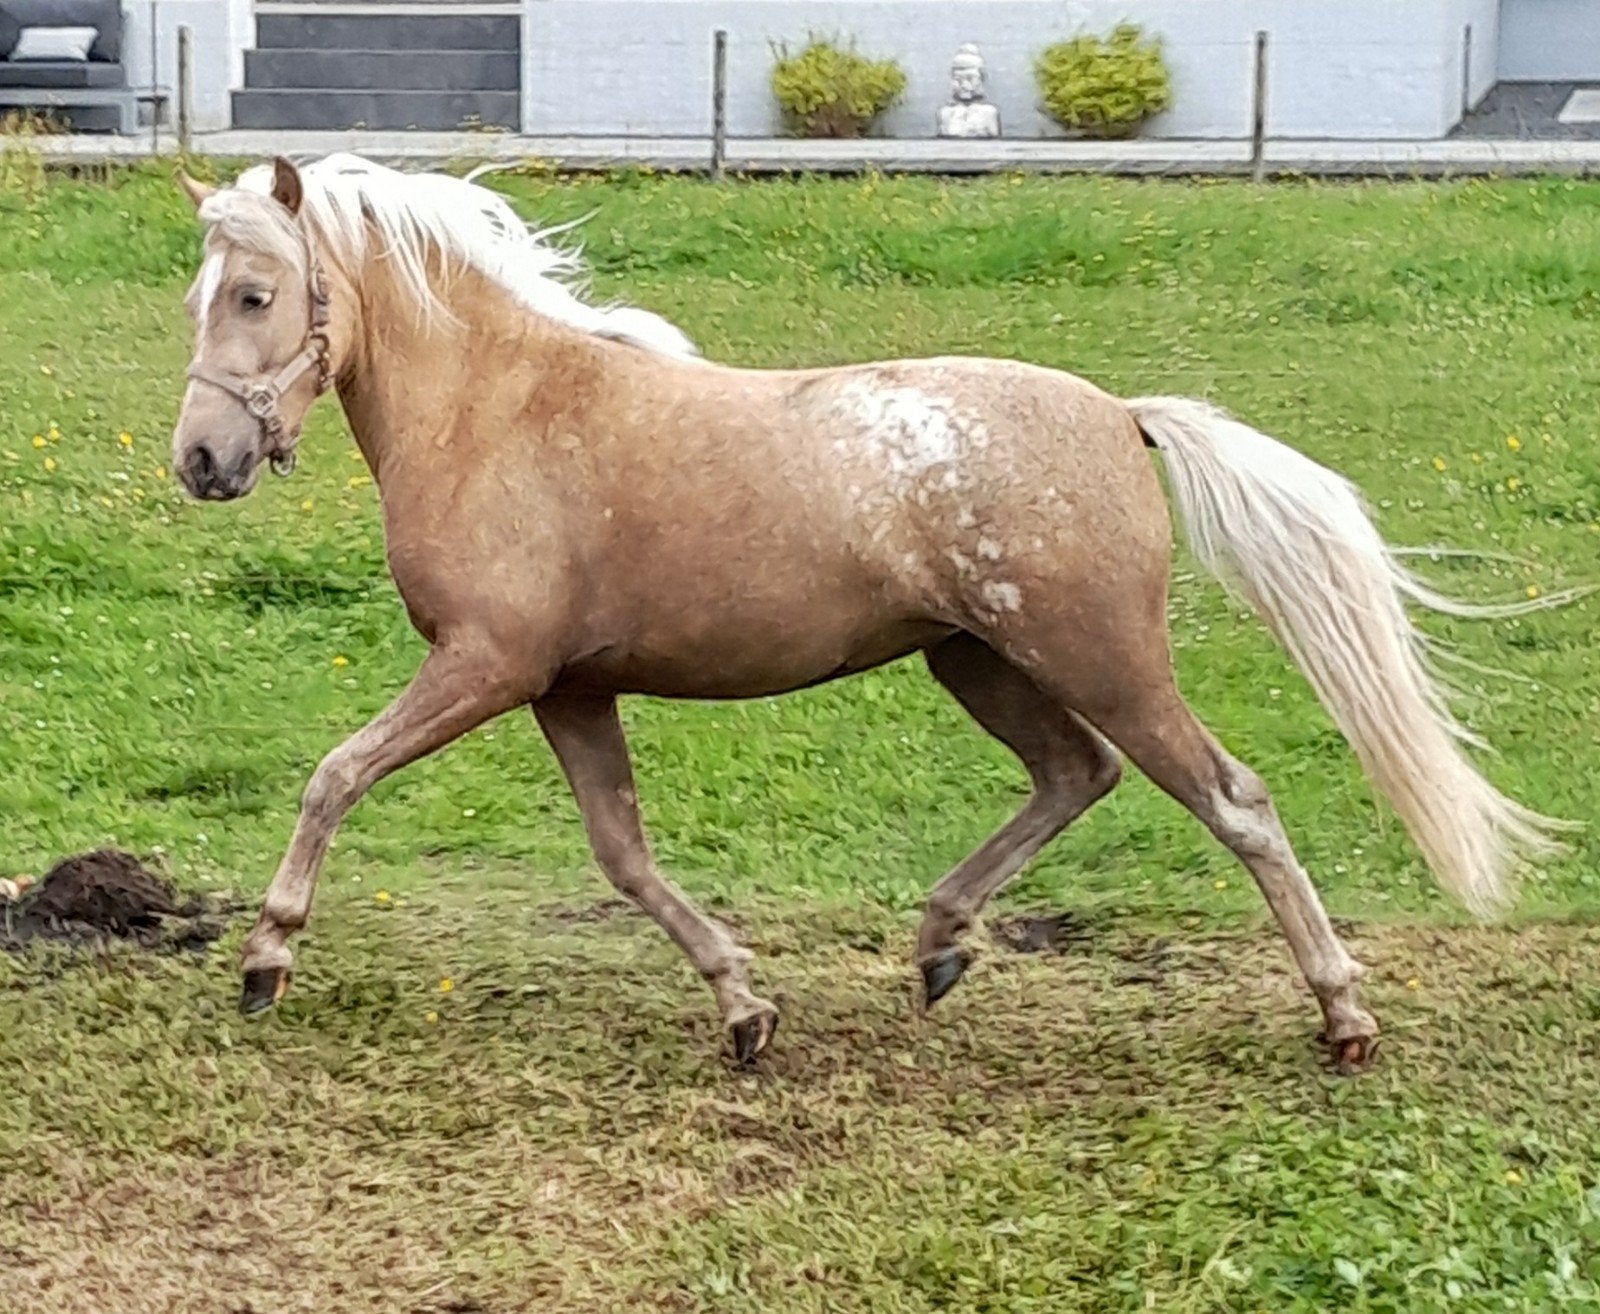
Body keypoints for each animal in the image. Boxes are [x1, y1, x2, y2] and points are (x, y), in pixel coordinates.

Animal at [170, 154, 1566, 1072]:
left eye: (253, 295)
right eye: (202, 295)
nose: (200, 461)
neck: (499, 413)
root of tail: (1123, 417)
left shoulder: (487, 665)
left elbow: (335, 774)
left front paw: (264, 961)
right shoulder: (567, 687)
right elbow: (624, 857)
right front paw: (743, 1007)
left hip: (1097, 658)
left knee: (1232, 799)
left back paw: (1343, 1016)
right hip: (980, 662)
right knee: (1077, 776)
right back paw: (940, 946)